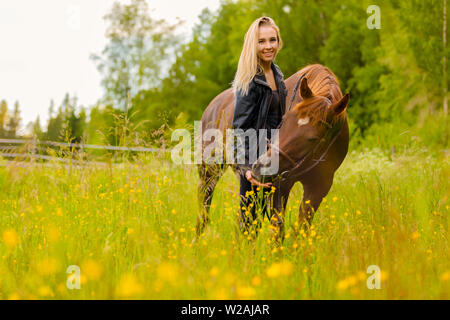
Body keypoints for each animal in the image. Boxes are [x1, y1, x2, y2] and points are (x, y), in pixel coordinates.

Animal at [196, 63, 348, 239]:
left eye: (313, 138)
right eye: (284, 119)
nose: (260, 167)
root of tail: (213, 106)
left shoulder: (319, 187)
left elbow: (302, 228)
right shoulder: (281, 186)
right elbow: (278, 229)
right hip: (209, 172)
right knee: (205, 209)